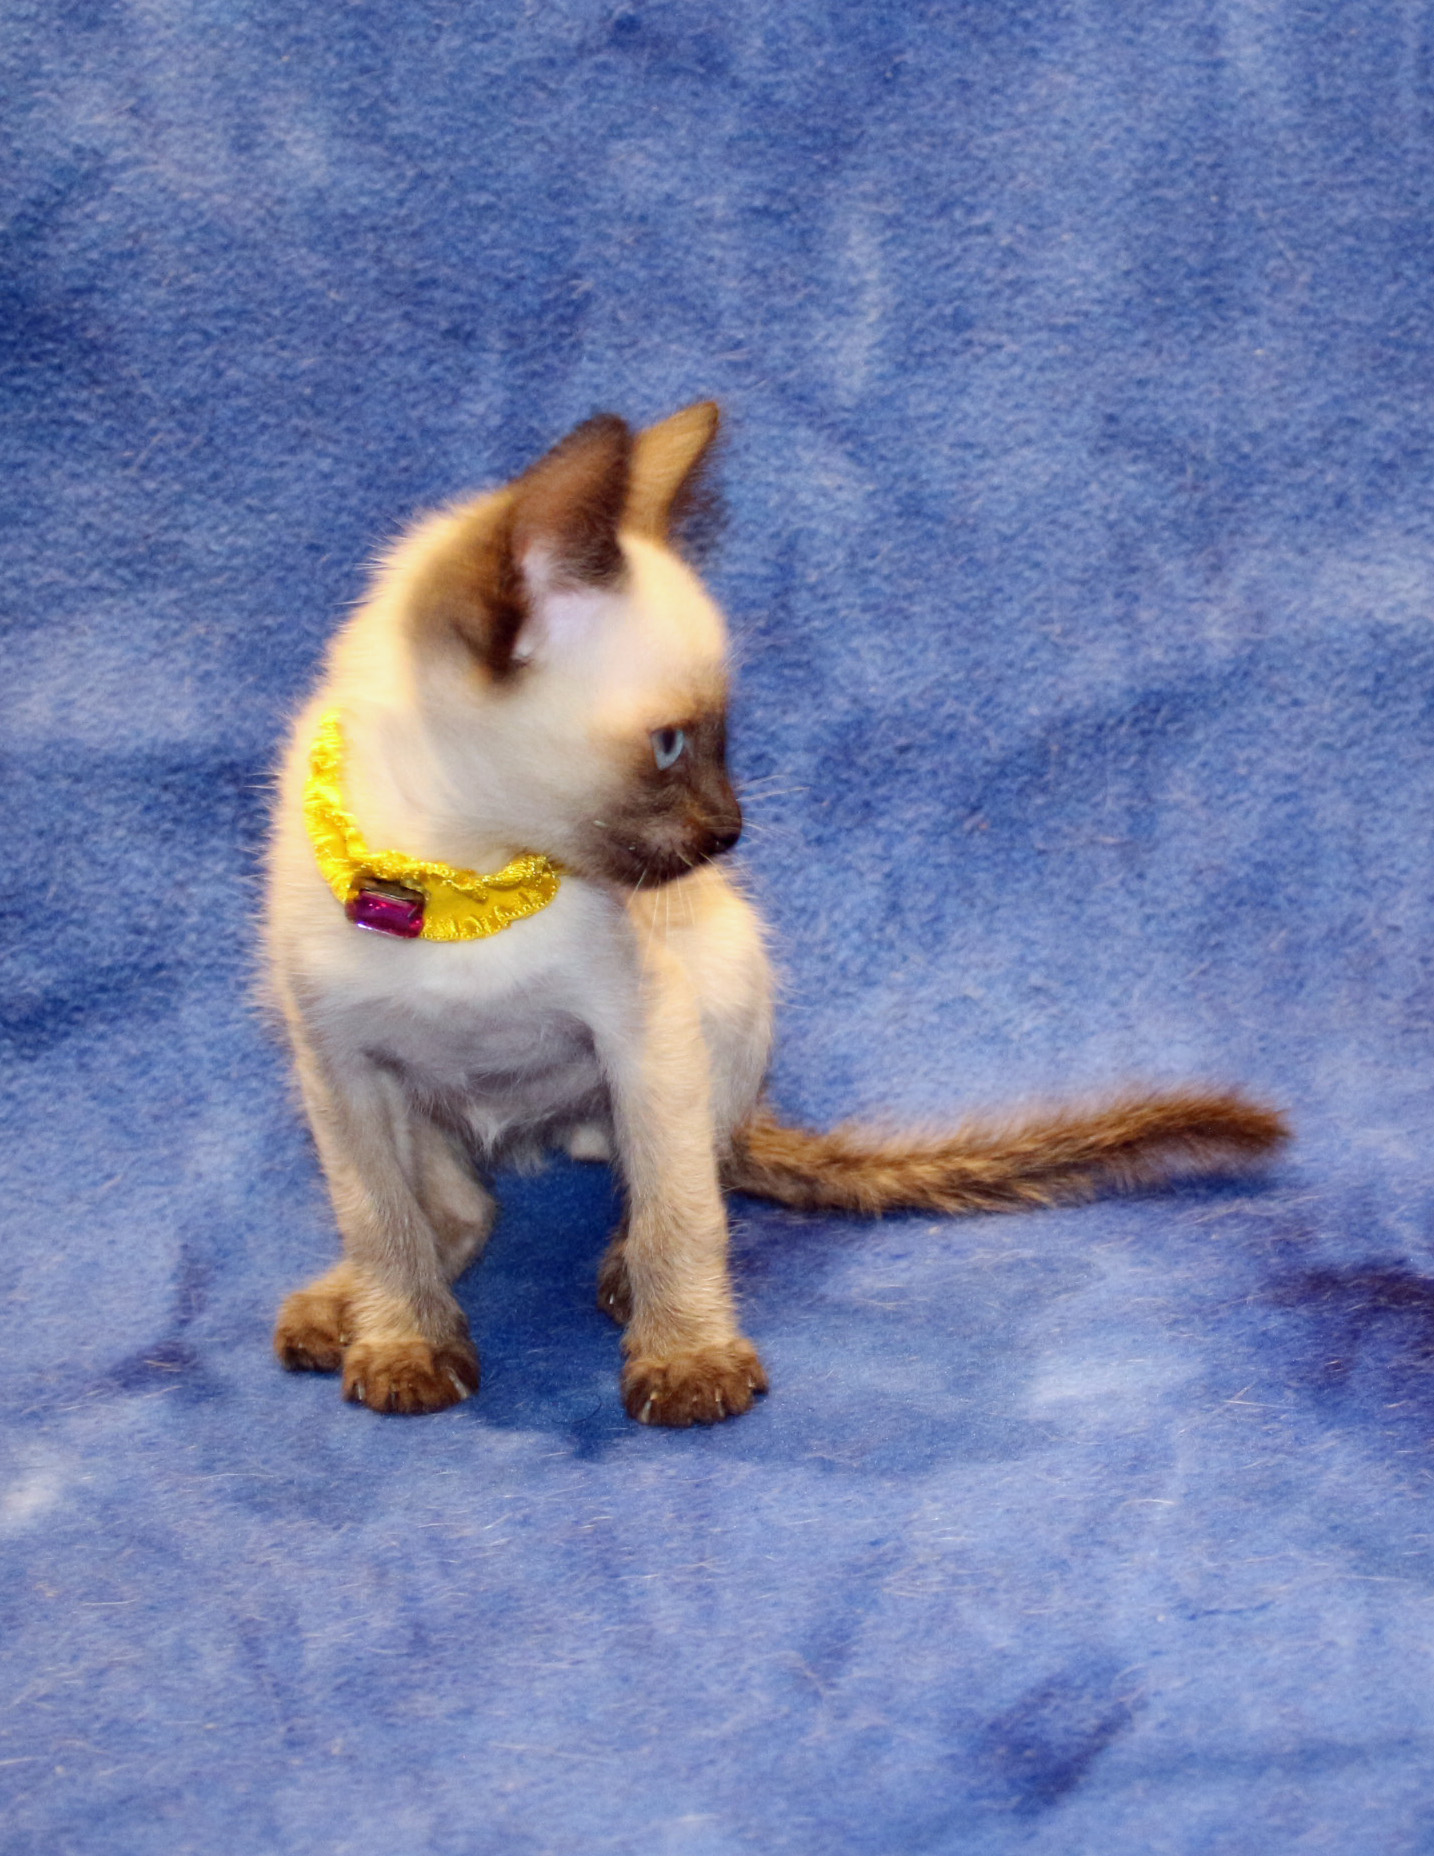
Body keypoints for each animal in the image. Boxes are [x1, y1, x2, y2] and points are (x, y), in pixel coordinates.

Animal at [264, 402, 1286, 1426]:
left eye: (722, 740)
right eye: (671, 746)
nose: (732, 830)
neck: (461, 884)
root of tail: (542, 1133)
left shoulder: (646, 1038)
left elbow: (682, 1219)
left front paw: (685, 1360)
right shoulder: (342, 1069)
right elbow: (381, 1223)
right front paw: (403, 1348)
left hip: (723, 988)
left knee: (682, 1181)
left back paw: (619, 1281)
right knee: (458, 1214)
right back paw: (337, 1312)